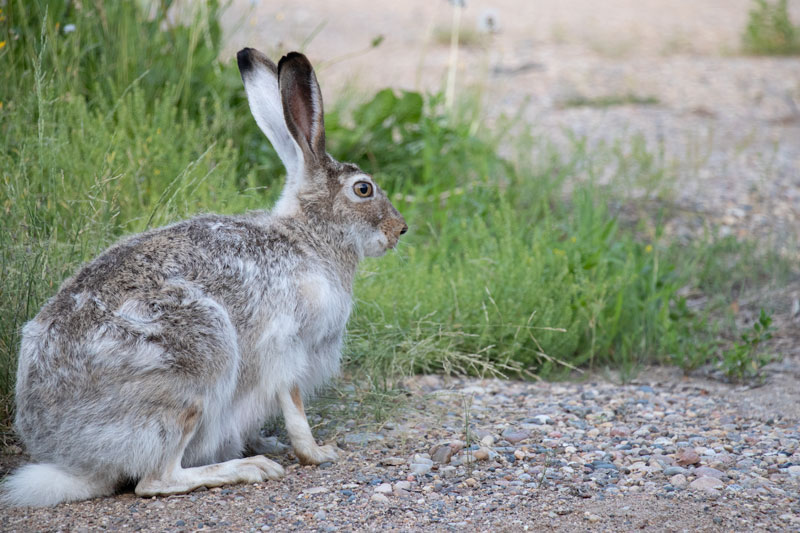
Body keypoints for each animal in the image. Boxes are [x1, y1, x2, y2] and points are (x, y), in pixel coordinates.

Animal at [2, 48, 407, 507]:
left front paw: (267, 442)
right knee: (155, 479)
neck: (308, 235)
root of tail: (71, 459)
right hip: (195, 363)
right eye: (363, 189)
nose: (400, 229)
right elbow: (295, 407)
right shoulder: (287, 344)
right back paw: (246, 469)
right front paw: (317, 453)